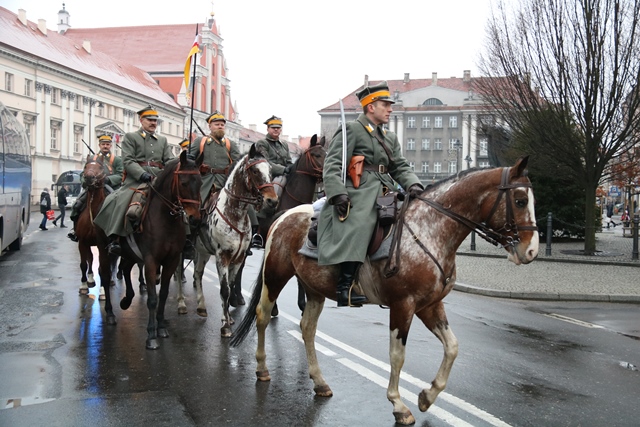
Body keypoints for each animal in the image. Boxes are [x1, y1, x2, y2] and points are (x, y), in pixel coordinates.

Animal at [96, 150, 203, 350]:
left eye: (200, 182)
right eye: (184, 183)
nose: (195, 219)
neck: (166, 220)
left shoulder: (171, 261)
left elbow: (163, 295)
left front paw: (161, 327)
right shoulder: (151, 261)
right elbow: (152, 299)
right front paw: (151, 335)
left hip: (130, 254)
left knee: (125, 269)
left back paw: (127, 300)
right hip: (104, 251)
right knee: (106, 277)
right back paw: (111, 313)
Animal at [176, 144, 278, 337]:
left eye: (270, 171)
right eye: (254, 170)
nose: (273, 201)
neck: (235, 213)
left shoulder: (238, 258)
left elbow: (230, 288)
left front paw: (228, 318)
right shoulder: (222, 256)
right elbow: (224, 290)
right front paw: (225, 326)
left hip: (202, 252)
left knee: (198, 274)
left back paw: (201, 306)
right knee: (178, 273)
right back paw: (181, 303)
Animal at [231, 157, 539, 425]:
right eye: (520, 200)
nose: (532, 251)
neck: (428, 230)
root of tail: (285, 214)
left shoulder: (430, 306)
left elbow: (452, 348)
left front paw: (427, 396)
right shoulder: (403, 305)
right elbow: (397, 355)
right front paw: (399, 404)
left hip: (313, 288)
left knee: (307, 328)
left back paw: (319, 382)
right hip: (276, 276)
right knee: (262, 315)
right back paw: (262, 368)